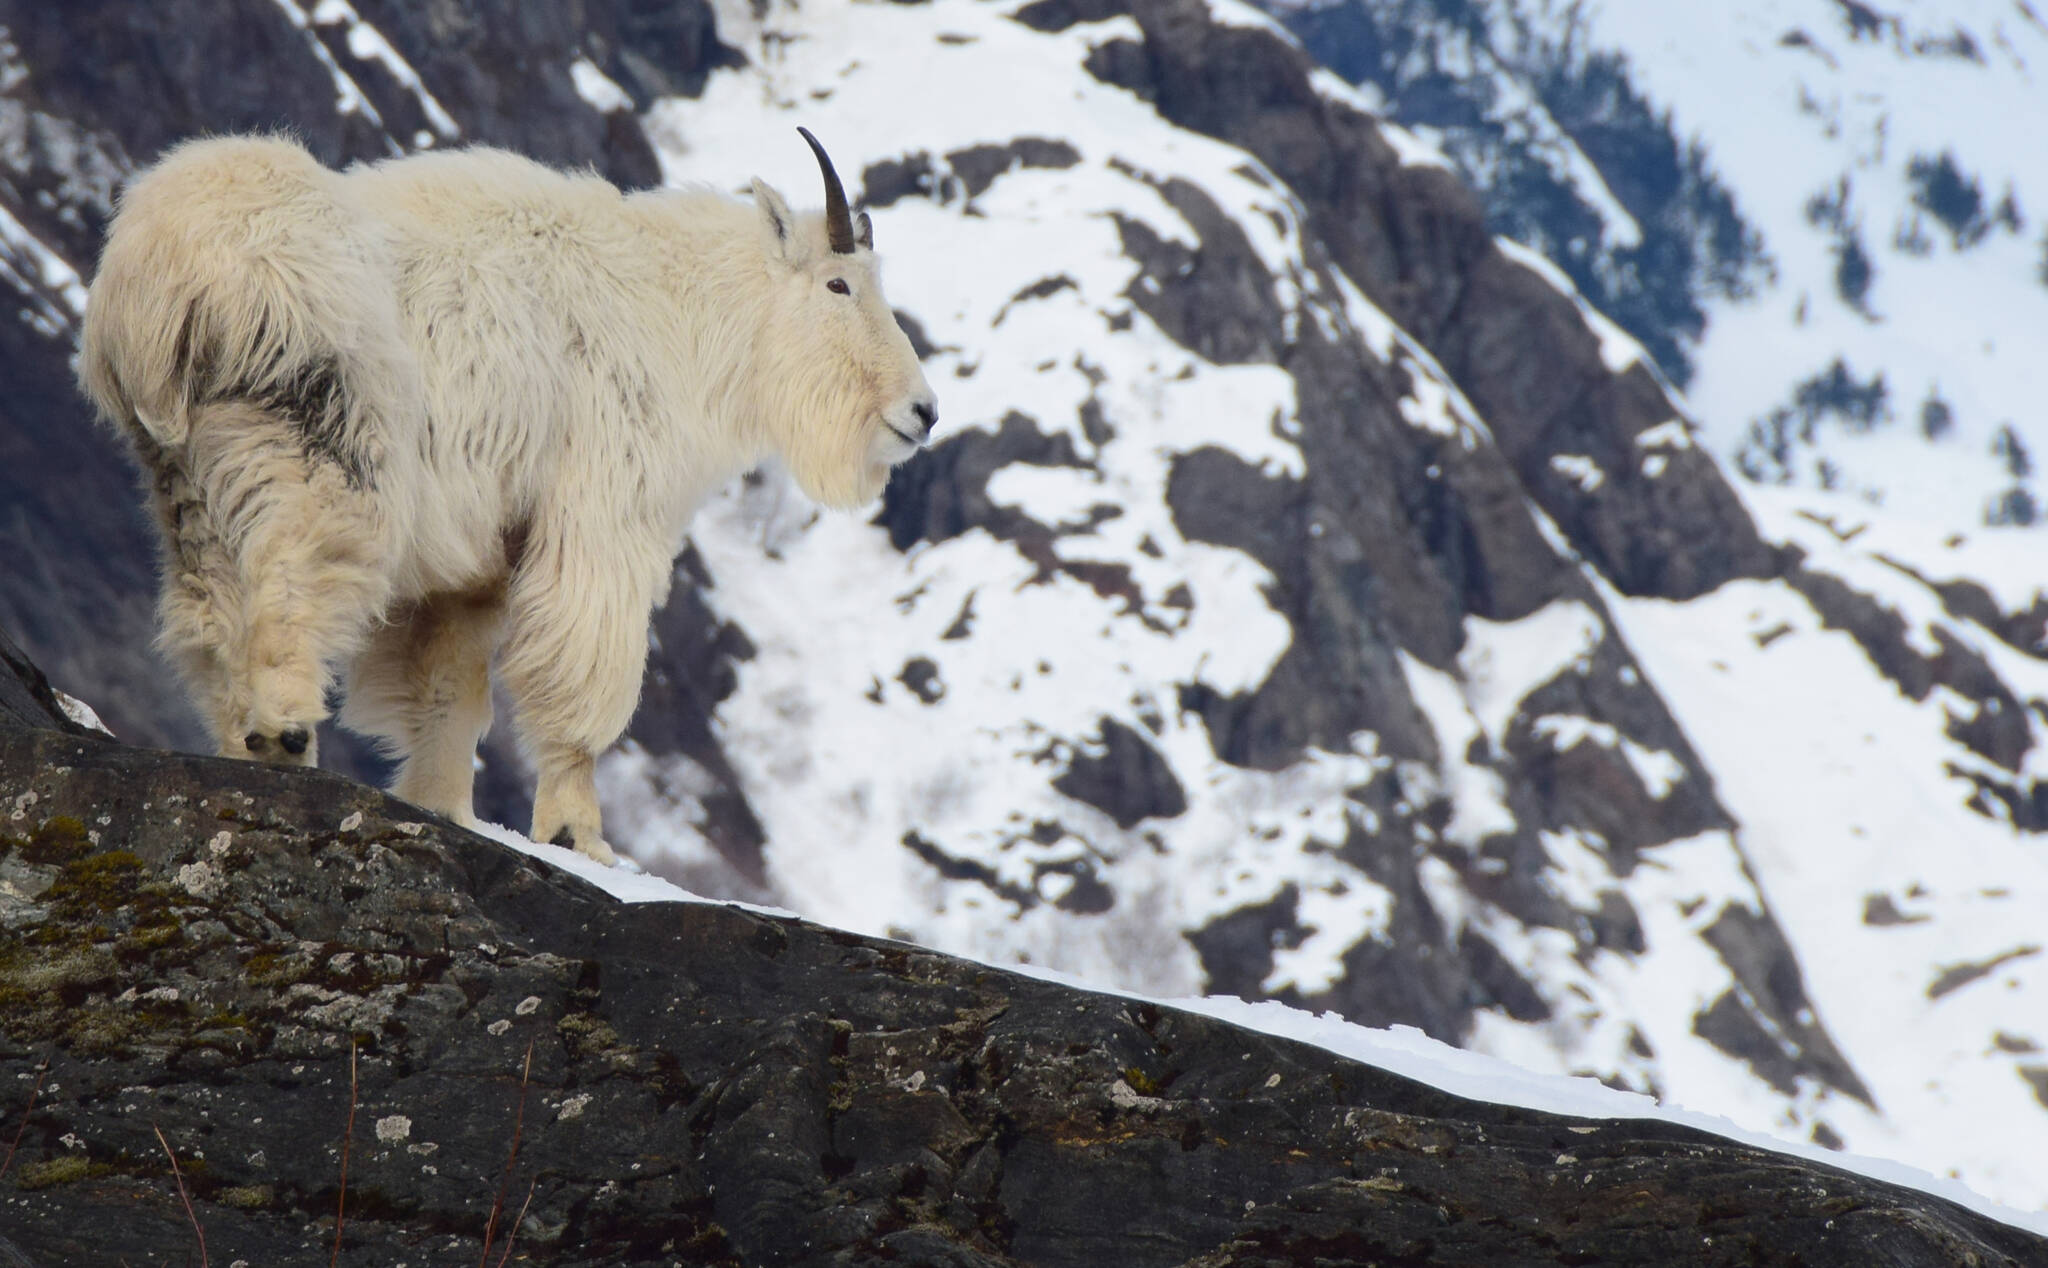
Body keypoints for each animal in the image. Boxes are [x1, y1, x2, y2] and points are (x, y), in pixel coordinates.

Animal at [79, 129, 937, 863]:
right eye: (839, 283)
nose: (922, 412)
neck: (675, 314)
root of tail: (160, 268)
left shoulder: (478, 560)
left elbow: (448, 687)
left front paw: (444, 807)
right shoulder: (599, 515)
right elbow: (580, 680)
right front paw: (579, 835)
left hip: (183, 475)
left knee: (206, 614)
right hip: (317, 436)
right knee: (294, 574)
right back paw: (284, 733)